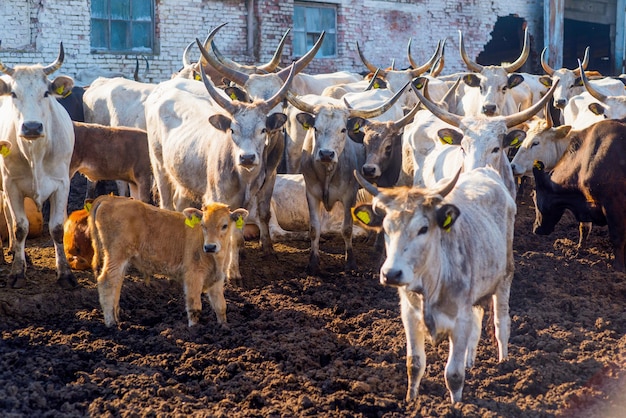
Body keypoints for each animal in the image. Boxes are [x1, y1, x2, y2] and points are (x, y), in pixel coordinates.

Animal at [0, 44, 77, 290]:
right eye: (14, 94)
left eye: (46, 93)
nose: (32, 127)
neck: (35, 152)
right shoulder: (11, 184)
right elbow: (20, 227)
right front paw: (17, 272)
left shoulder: (62, 184)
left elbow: (57, 228)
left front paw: (65, 274)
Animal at [89, 194, 245, 328]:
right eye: (203, 225)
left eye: (224, 225)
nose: (210, 247)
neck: (215, 259)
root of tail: (110, 199)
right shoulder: (193, 276)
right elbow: (194, 306)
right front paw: (193, 329)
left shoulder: (217, 278)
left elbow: (221, 306)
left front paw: (224, 326)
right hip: (116, 255)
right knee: (106, 282)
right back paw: (111, 323)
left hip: (122, 260)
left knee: (117, 283)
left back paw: (116, 318)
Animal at [352, 166, 516, 402]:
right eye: (386, 228)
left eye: (423, 228)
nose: (391, 273)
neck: (431, 285)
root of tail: (486, 171)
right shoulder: (410, 317)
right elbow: (414, 364)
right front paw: (411, 401)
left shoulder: (460, 321)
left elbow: (454, 374)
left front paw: (456, 405)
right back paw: (470, 361)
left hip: (505, 278)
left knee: (501, 322)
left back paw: (504, 363)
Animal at [528, 118, 624, 274]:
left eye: (534, 197)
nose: (536, 229)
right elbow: (583, 228)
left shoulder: (614, 203)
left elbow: (617, 236)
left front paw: (619, 267)